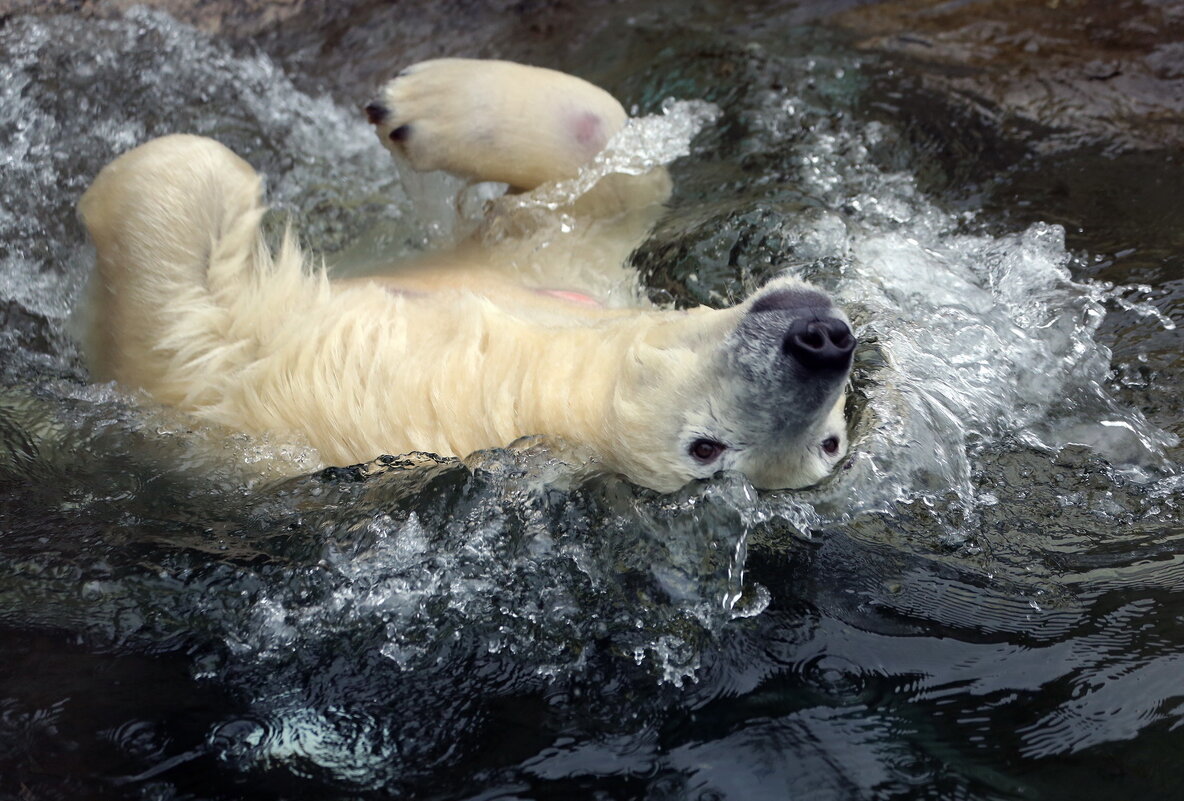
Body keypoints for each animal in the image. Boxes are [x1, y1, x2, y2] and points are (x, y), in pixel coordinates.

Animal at [78, 57, 857, 494]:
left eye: (706, 448)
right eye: (837, 441)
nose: (821, 342)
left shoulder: (324, 388)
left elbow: (185, 318)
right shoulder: (554, 263)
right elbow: (609, 171)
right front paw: (415, 104)